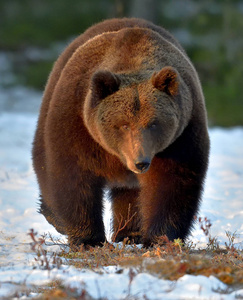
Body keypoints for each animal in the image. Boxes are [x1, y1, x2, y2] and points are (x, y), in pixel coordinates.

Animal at [32, 18, 210, 248]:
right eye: (123, 124)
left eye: (154, 124)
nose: (140, 162)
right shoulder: (77, 125)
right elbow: (74, 177)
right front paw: (89, 239)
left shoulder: (181, 137)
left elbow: (172, 183)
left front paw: (158, 239)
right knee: (44, 165)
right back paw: (54, 216)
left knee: (130, 195)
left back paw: (129, 233)